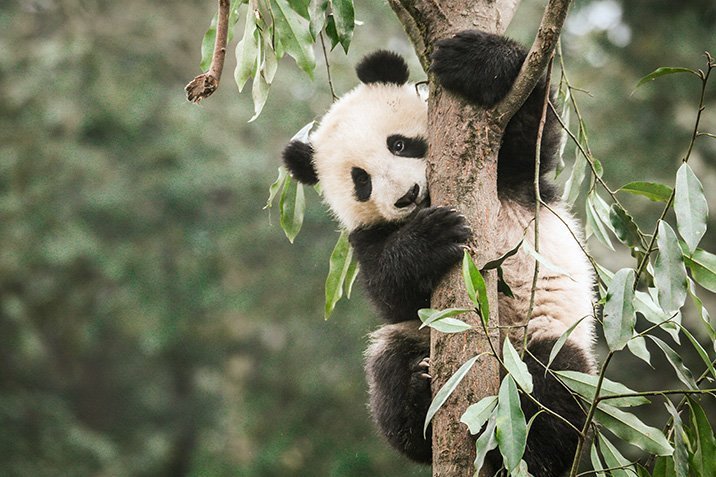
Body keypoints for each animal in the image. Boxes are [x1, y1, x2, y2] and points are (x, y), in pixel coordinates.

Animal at [281, 30, 596, 476]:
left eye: (398, 144)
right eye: (361, 181)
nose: (406, 196)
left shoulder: (510, 177)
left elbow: (533, 134)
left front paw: (476, 60)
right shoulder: (367, 236)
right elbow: (390, 293)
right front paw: (432, 237)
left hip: (546, 338)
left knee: (552, 385)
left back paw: (522, 453)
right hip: (412, 339)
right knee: (389, 378)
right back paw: (420, 391)